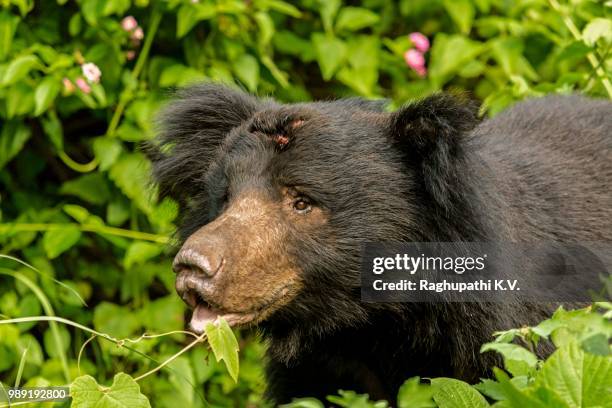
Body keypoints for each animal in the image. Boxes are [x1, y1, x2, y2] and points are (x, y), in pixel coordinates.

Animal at [148, 84, 612, 404]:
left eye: (301, 201)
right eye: (225, 197)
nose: (193, 267)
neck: (372, 325)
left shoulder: (512, 337)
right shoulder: (319, 370)